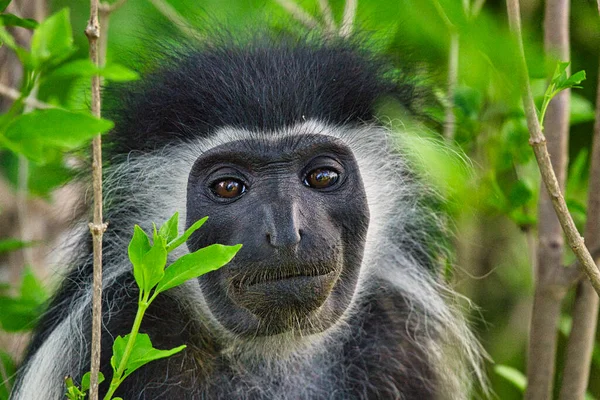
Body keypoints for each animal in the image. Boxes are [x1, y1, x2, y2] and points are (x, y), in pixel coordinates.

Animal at [9, 35, 482, 400]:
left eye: (322, 176)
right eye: (228, 187)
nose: (287, 234)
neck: (276, 356)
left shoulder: (397, 343)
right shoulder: (115, 334)